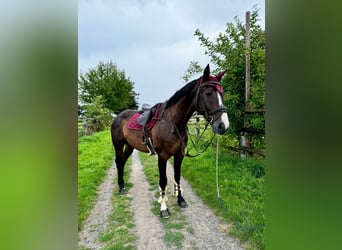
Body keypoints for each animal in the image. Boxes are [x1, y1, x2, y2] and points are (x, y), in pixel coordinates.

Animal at [112, 65, 228, 219]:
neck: (173, 123)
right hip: (118, 145)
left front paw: (180, 200)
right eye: (208, 93)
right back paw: (121, 187)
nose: (223, 125)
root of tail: (117, 116)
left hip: (130, 147)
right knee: (119, 162)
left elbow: (177, 177)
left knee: (123, 162)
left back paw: (122, 184)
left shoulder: (179, 155)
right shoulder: (162, 156)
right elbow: (163, 181)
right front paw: (163, 208)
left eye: (222, 94)